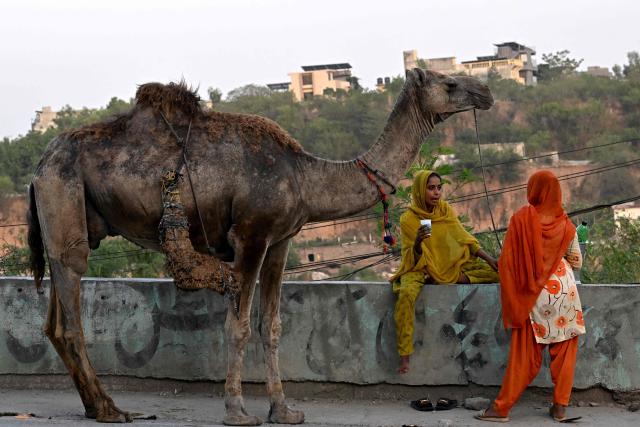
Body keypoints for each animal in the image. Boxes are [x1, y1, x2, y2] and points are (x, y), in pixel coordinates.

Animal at [27, 69, 493, 425]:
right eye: (450, 83)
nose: (486, 92)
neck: (305, 175)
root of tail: (40, 164)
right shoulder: (250, 235)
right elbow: (239, 325)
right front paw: (236, 410)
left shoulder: (281, 240)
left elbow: (272, 326)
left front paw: (284, 411)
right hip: (64, 198)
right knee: (71, 300)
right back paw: (111, 409)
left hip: (62, 213)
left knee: (52, 318)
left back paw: (94, 406)